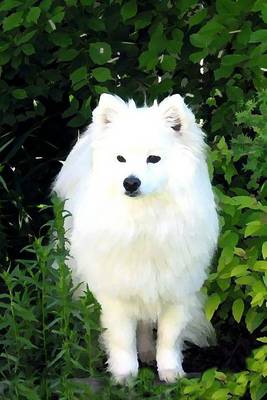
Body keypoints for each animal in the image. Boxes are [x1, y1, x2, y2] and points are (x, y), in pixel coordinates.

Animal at [52, 94, 220, 384]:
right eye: (121, 159)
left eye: (153, 159)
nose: (130, 182)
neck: (146, 219)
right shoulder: (116, 292)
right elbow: (121, 338)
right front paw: (124, 376)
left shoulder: (177, 290)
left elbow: (169, 337)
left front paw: (171, 373)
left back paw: (148, 353)